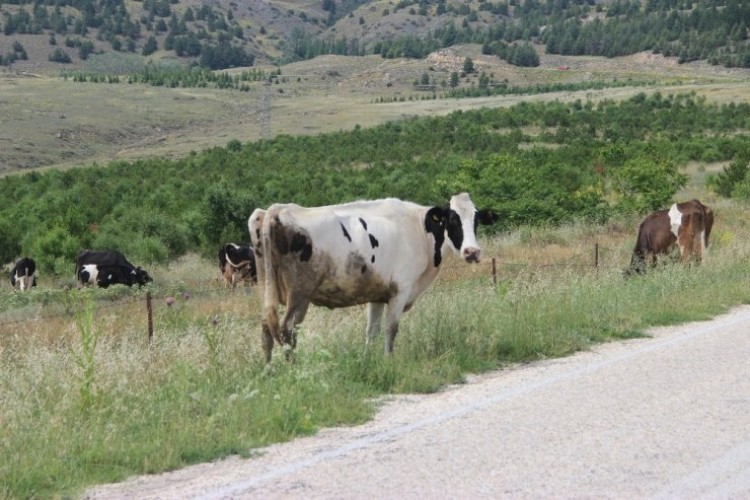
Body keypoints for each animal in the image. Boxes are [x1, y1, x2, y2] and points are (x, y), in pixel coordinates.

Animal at [258, 193, 500, 362]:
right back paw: (293, 368)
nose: (472, 252)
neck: (419, 228)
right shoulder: (400, 290)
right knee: (287, 329)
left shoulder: (376, 294)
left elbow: (371, 331)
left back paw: (270, 372)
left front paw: (367, 361)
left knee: (266, 328)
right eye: (452, 220)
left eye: (476, 220)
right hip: (300, 293)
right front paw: (388, 361)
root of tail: (279, 210)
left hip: (269, 290)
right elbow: (390, 329)